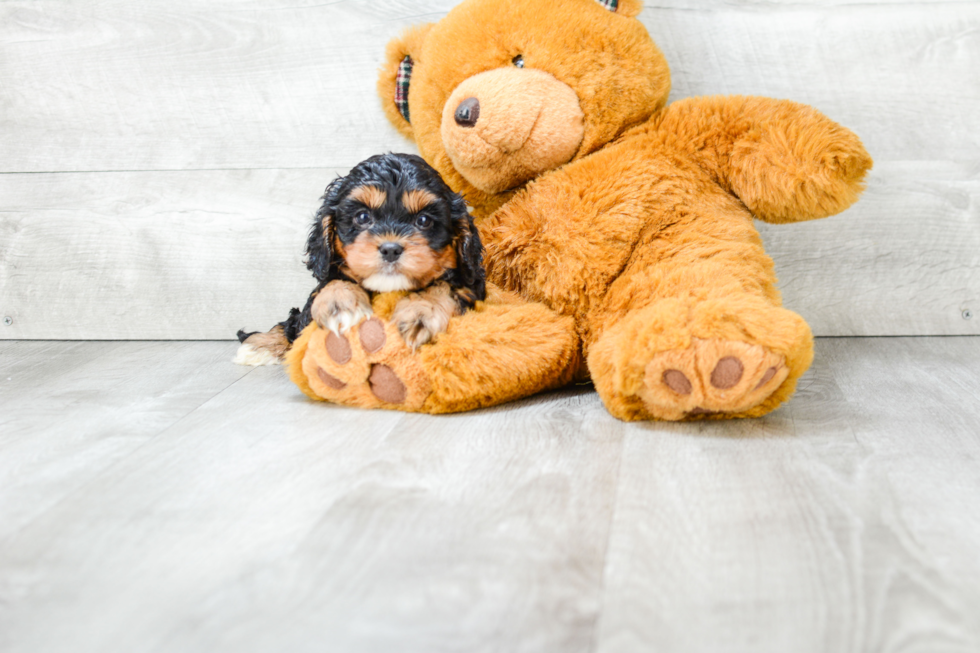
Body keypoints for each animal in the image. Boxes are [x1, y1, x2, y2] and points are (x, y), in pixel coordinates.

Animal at [234, 153, 486, 366]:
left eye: (423, 220)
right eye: (363, 217)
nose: (390, 250)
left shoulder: (471, 283)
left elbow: (445, 285)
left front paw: (420, 314)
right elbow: (332, 280)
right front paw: (338, 305)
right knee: (291, 323)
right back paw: (261, 345)